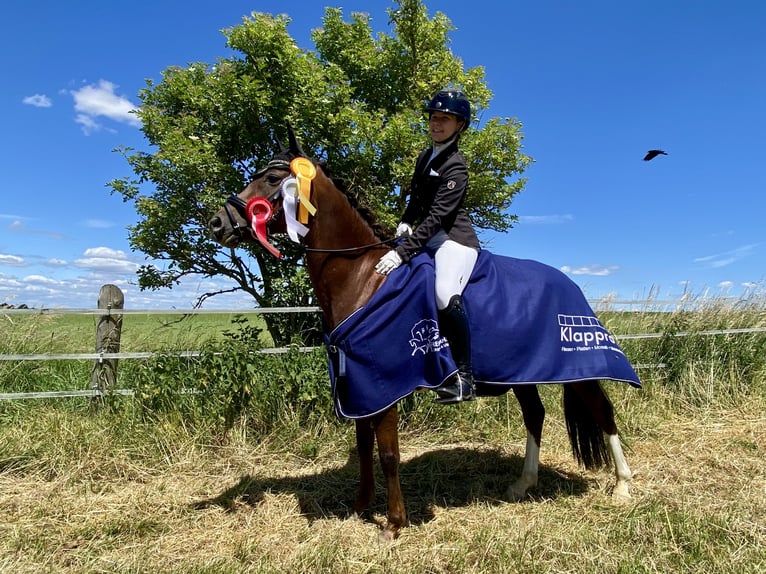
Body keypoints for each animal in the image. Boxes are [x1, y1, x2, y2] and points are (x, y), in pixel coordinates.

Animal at [207, 127, 640, 544]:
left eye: (273, 178)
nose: (217, 223)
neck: (366, 278)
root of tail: (570, 282)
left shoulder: (385, 383)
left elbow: (388, 454)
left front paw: (393, 524)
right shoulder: (360, 384)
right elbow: (362, 446)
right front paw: (362, 505)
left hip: (577, 365)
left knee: (602, 411)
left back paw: (622, 487)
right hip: (521, 372)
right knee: (534, 414)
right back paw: (523, 484)